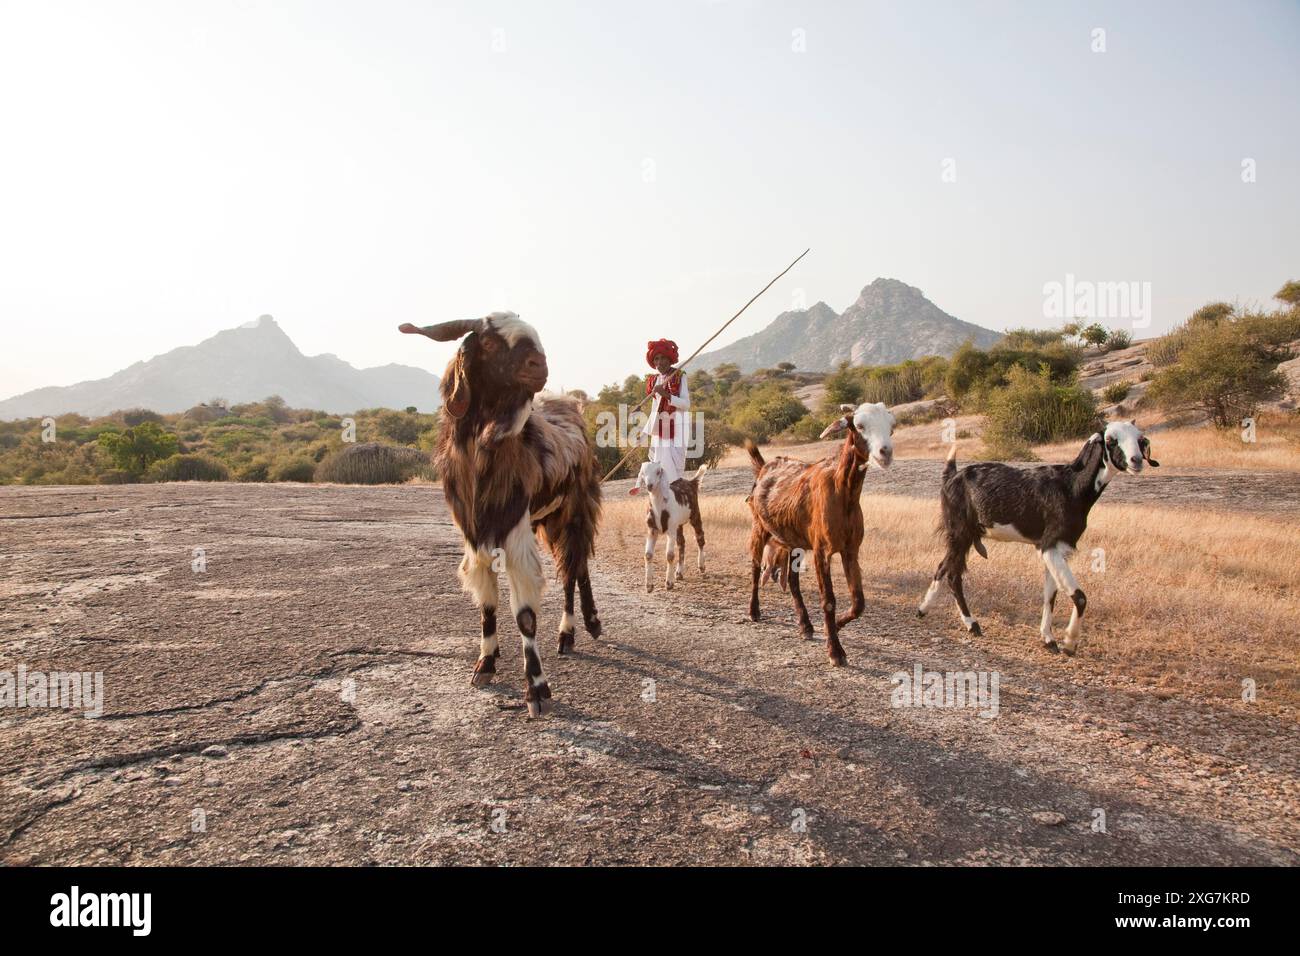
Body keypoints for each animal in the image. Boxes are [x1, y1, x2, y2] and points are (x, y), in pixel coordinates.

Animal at [399, 313, 602, 717]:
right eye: (490, 343)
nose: (539, 366)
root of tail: (568, 404)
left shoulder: (514, 531)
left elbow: (524, 615)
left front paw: (536, 689)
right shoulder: (475, 535)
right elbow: (487, 602)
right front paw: (486, 663)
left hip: (574, 510)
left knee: (573, 569)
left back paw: (574, 629)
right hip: (549, 518)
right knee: (575, 567)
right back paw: (577, 631)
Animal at [629, 461, 708, 591]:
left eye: (658, 471)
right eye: (643, 473)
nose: (649, 485)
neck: (660, 507)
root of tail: (691, 482)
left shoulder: (671, 530)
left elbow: (670, 555)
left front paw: (669, 583)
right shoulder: (652, 529)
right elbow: (648, 554)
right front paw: (649, 585)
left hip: (695, 514)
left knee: (700, 537)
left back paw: (701, 565)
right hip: (678, 525)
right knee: (681, 543)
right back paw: (679, 573)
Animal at [745, 402, 896, 666]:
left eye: (892, 427)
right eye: (859, 425)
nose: (885, 453)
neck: (843, 492)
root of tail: (764, 467)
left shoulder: (850, 550)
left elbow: (859, 602)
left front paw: (836, 626)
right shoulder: (821, 551)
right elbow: (828, 600)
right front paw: (835, 651)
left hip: (792, 540)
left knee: (792, 581)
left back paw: (805, 625)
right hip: (759, 528)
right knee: (755, 568)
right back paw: (754, 611)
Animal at [917, 420, 1158, 656]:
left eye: (1140, 439)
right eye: (1110, 440)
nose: (1136, 460)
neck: (1071, 486)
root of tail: (951, 476)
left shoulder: (1059, 549)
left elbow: (1050, 595)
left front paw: (1048, 639)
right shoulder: (1049, 545)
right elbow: (1079, 596)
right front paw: (1069, 643)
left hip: (964, 534)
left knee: (945, 568)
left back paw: (930, 611)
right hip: (960, 531)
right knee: (951, 573)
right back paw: (966, 623)